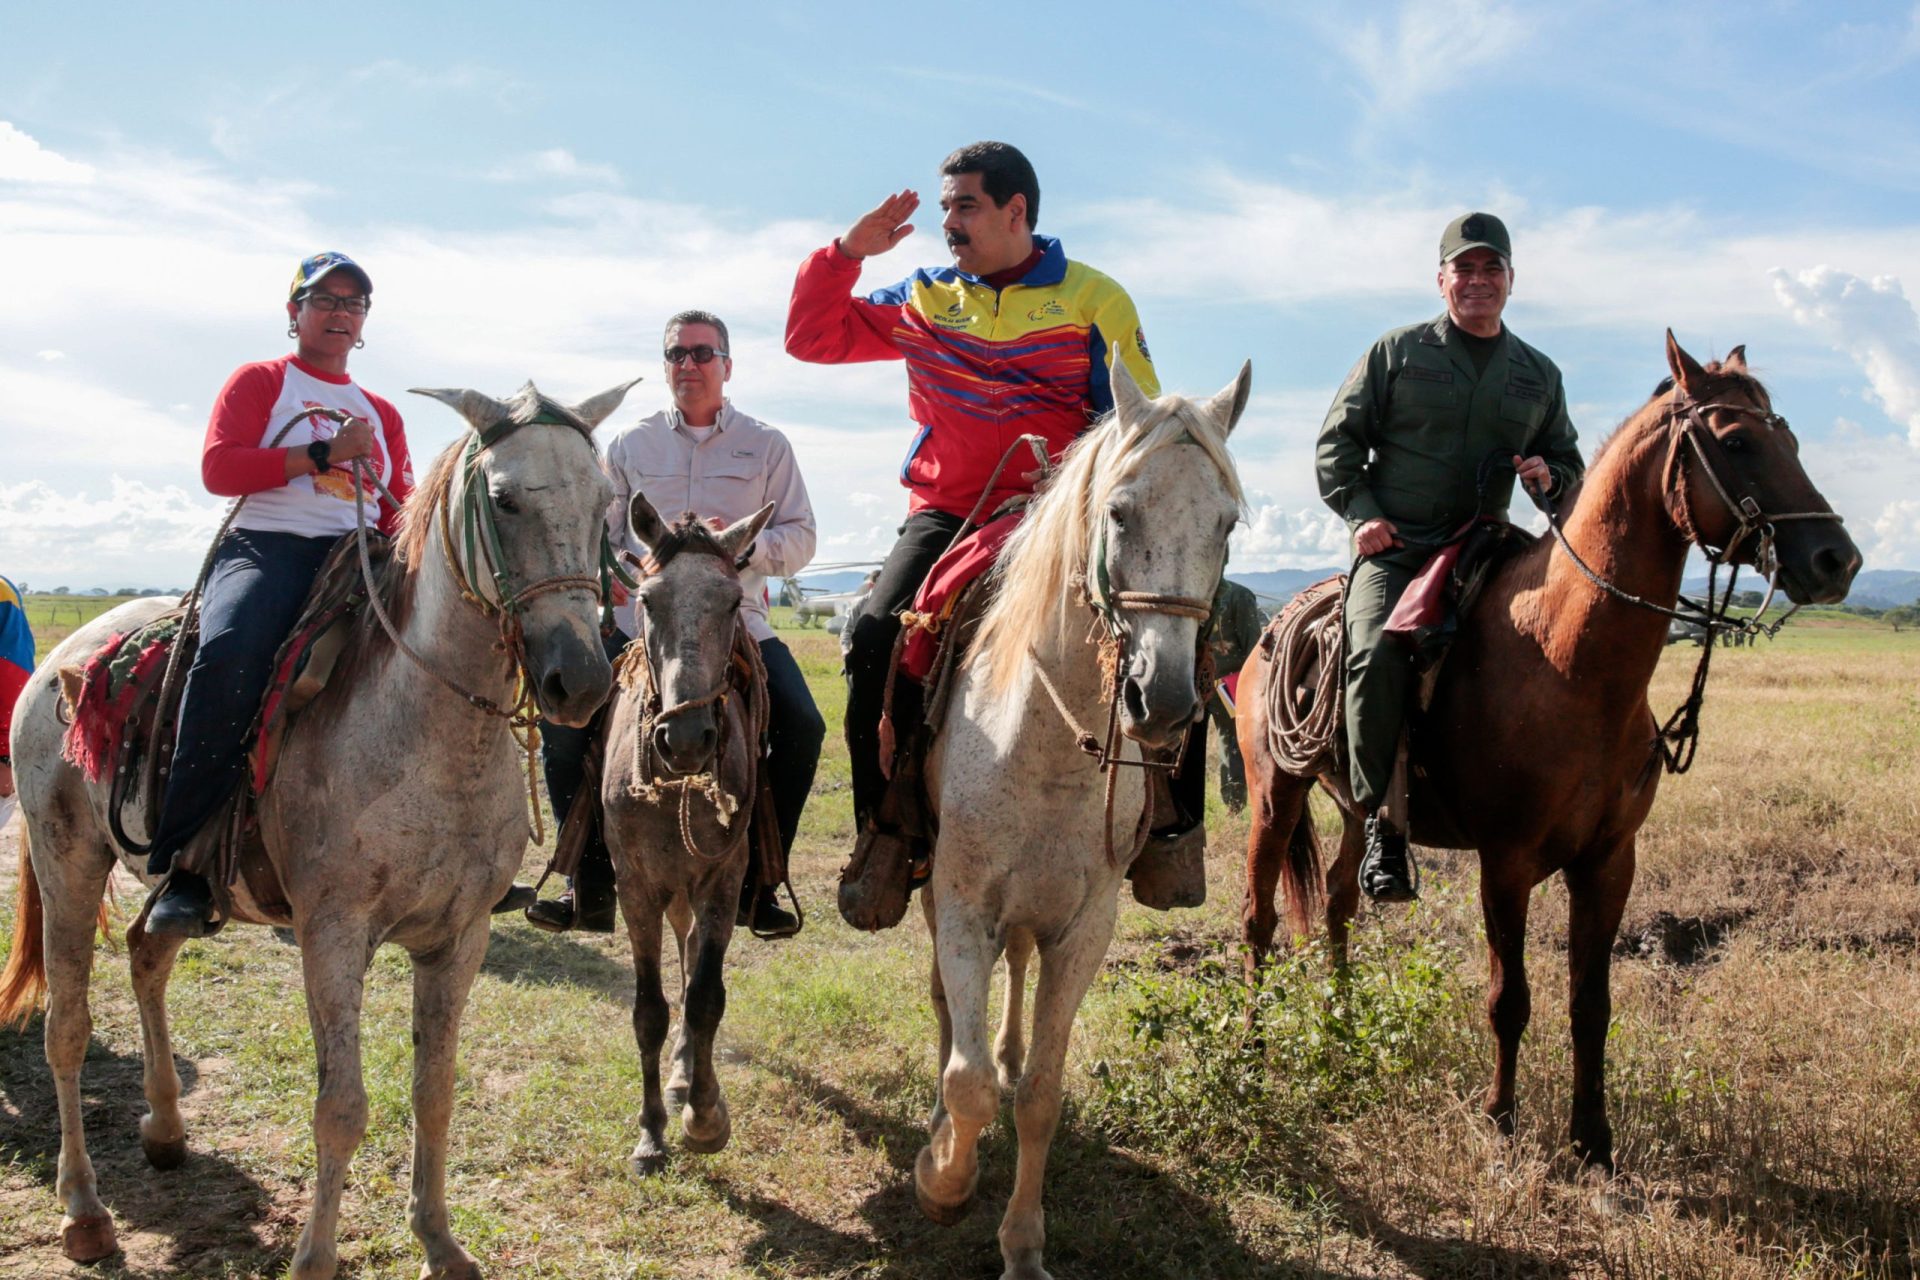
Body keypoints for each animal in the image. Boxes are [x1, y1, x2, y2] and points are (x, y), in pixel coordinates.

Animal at [0, 379, 629, 1280]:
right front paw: (316, 1256)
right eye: (505, 500)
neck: (425, 730)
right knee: (67, 1029)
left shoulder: (461, 936)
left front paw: (440, 1242)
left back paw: (165, 1131)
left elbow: (434, 1091)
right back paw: (85, 1211)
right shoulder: (332, 933)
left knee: (147, 954)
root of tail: (68, 659)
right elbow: (342, 1106)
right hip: (66, 865)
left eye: (605, 504)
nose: (579, 680)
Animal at [921, 358, 1251, 1280]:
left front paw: (1023, 1245)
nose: (1162, 700)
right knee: (947, 1012)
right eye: (1119, 511)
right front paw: (943, 1179)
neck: (1043, 739)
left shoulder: (1085, 926)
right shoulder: (962, 906)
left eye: (1226, 524)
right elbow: (964, 1082)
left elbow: (1040, 1093)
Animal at [1244, 335, 1858, 1174]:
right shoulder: (1505, 864)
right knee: (1259, 921)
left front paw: (1592, 1141)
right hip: (1274, 792)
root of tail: (1278, 627)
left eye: (1790, 438)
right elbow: (1510, 999)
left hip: (1354, 805)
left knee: (1339, 900)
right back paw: (1251, 1057)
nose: (1837, 560)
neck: (1568, 659)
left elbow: (1589, 1004)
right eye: (1736, 442)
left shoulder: (1609, 860)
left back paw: (1344, 1026)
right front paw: (1501, 1123)